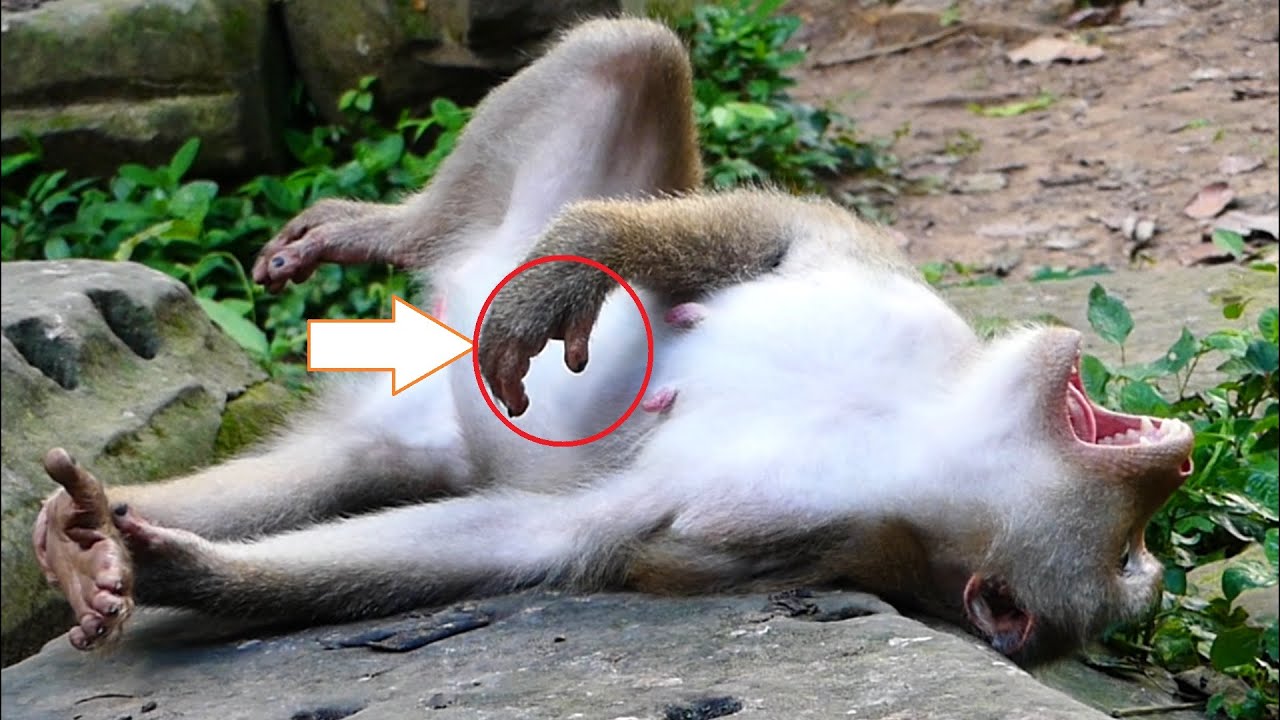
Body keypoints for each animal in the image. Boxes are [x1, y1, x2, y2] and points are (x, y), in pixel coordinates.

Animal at [31, 17, 1194, 667]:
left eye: (1129, 561)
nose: (1177, 455)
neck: (920, 423)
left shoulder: (780, 536)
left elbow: (532, 540)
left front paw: (163, 567)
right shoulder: (889, 288)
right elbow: (768, 233)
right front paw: (577, 265)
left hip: (407, 436)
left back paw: (99, 535)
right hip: (491, 241)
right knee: (630, 49)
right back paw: (390, 228)